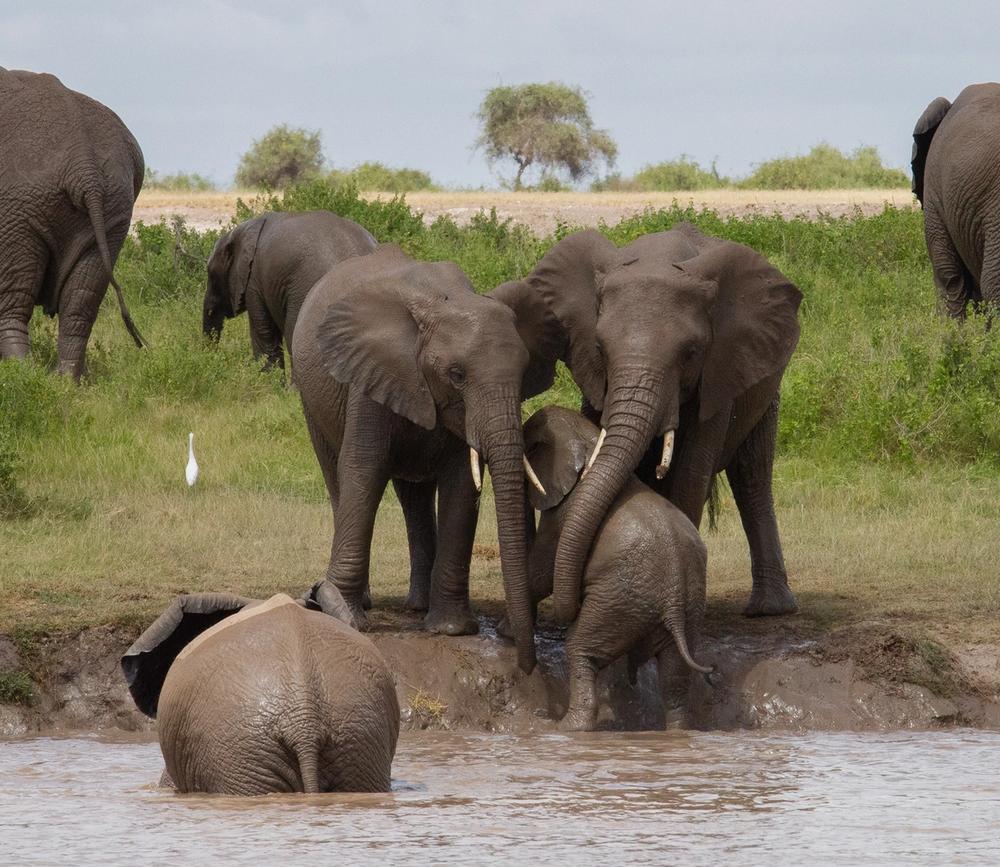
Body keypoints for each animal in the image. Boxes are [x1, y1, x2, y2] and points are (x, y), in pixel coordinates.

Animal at [0, 68, 145, 378]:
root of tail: (83, 164)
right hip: (115, 205)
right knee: (82, 299)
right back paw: (65, 379)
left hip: (17, 209)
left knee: (15, 296)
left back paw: (22, 375)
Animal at [292, 244, 559, 674]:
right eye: (457, 374)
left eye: (523, 374)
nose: (527, 665)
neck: (442, 303)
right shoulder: (371, 373)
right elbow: (362, 471)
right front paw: (347, 618)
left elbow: (462, 486)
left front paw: (451, 630)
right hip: (311, 396)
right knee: (336, 476)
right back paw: (364, 601)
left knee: (413, 496)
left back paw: (418, 606)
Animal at [492, 223, 802, 627]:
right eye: (601, 348)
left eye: (690, 354)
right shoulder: (594, 375)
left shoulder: (720, 368)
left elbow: (691, 472)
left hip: (766, 383)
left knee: (751, 473)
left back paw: (769, 610)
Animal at [523, 406, 715, 731]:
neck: (587, 439)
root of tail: (674, 599)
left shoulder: (561, 516)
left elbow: (542, 573)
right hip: (688, 608)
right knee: (675, 675)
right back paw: (678, 732)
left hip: (619, 602)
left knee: (580, 648)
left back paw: (564, 728)